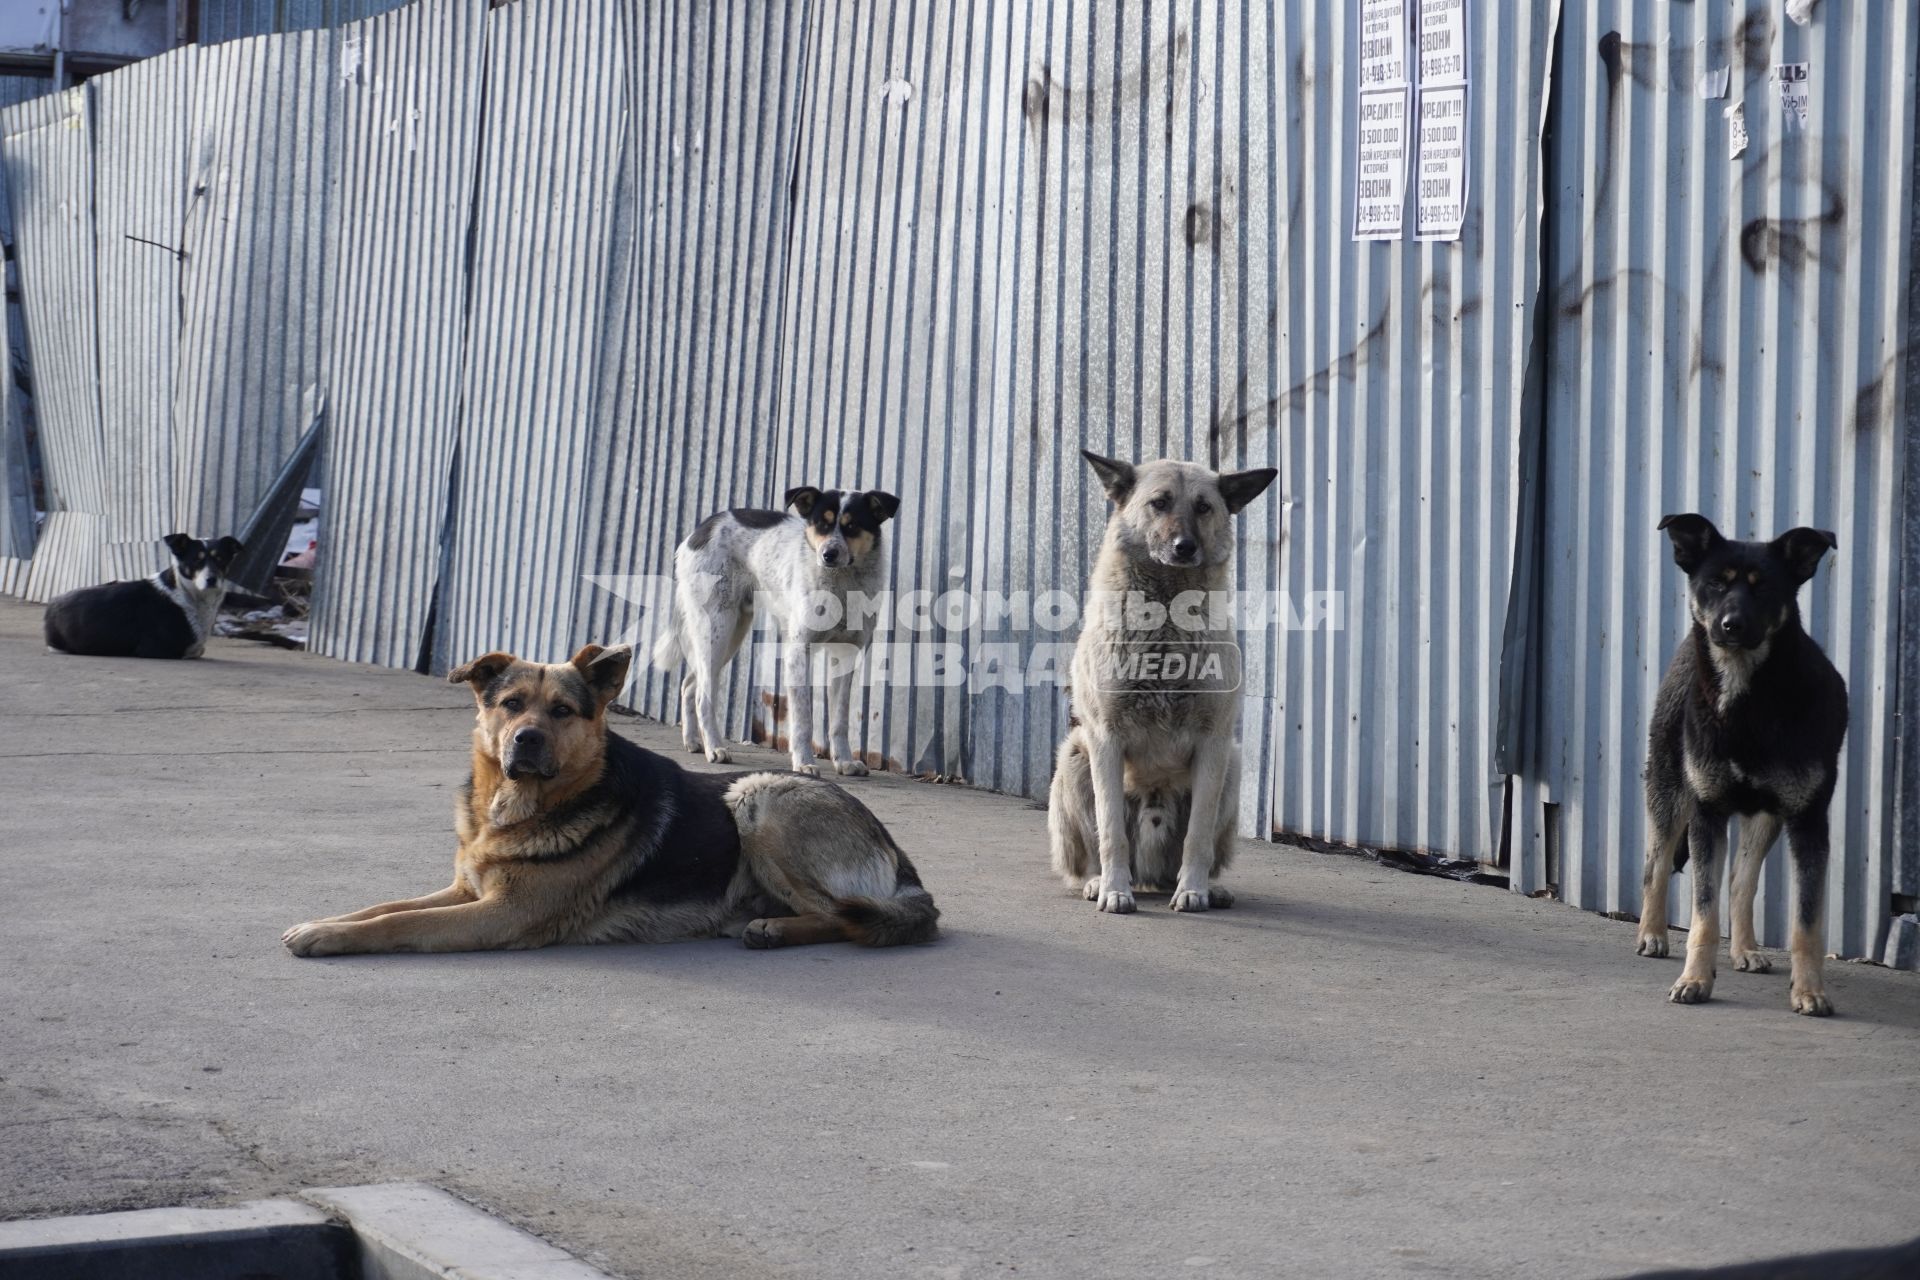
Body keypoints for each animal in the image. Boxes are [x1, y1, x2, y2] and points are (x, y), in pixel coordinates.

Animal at [42, 529, 243, 660]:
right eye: (196, 560)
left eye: (220, 559)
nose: (212, 580)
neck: (187, 593)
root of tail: (52, 603)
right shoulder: (156, 649)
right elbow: (194, 650)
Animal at [282, 644, 936, 955]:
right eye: (510, 704)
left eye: (562, 712)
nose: (525, 740)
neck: (519, 808)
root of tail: (901, 860)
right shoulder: (468, 891)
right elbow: (383, 907)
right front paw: (323, 922)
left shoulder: (500, 913)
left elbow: (400, 924)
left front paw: (328, 938)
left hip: (759, 795)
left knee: (847, 916)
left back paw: (775, 928)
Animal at [652, 485, 898, 775]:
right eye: (821, 524)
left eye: (853, 526)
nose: (828, 554)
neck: (843, 583)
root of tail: (700, 530)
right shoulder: (799, 652)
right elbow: (803, 719)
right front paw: (803, 762)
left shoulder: (846, 655)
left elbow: (840, 719)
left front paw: (845, 761)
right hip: (717, 627)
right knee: (703, 694)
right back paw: (715, 748)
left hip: (731, 634)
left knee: (690, 684)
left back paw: (693, 741)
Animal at [1052, 450, 1274, 909]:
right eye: (1159, 503)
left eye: (1204, 507)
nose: (1184, 547)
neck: (1168, 617)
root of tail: (1149, 874)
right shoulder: (1105, 739)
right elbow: (1111, 832)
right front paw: (1115, 891)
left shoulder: (1214, 743)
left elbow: (1198, 837)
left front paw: (1193, 889)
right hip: (1075, 753)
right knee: (1091, 854)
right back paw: (1099, 881)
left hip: (1232, 763)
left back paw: (1205, 887)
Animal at [1635, 514, 1843, 1013]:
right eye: (1715, 583)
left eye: (1763, 587)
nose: (1731, 626)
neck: (1747, 699)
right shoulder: (1707, 812)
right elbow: (1703, 914)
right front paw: (1695, 979)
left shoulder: (1808, 820)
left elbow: (1806, 924)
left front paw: (1810, 991)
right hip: (1670, 789)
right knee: (1656, 863)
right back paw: (1652, 934)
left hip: (1766, 817)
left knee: (1740, 881)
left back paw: (1745, 949)